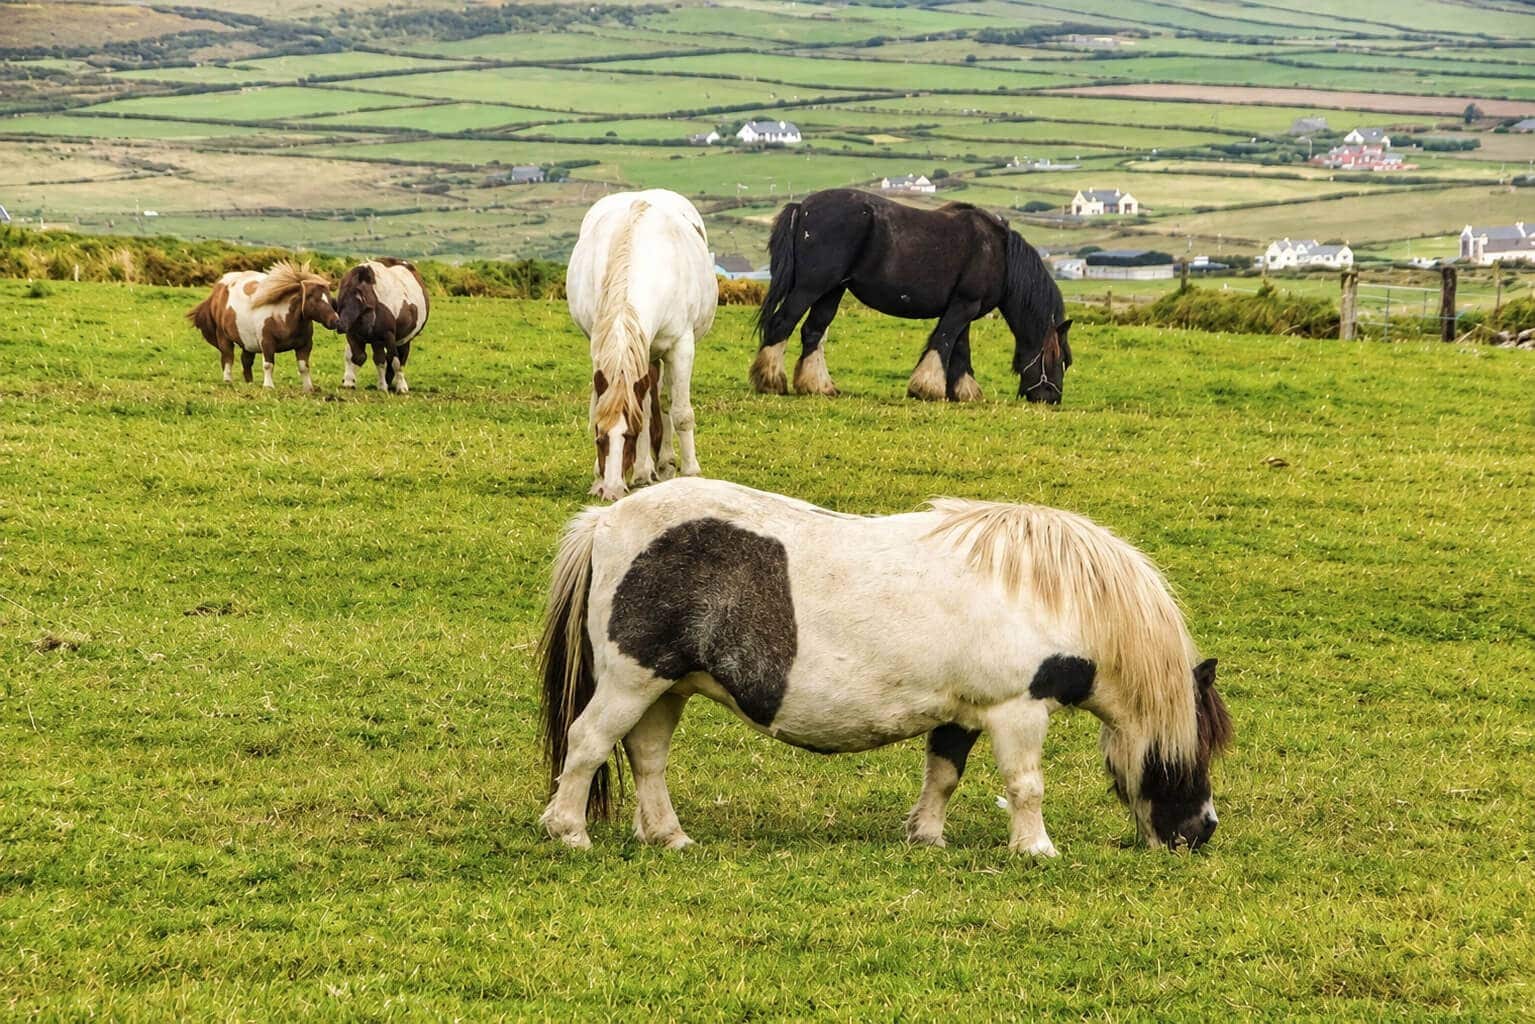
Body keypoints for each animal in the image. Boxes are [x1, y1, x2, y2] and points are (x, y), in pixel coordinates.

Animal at [187, 260, 340, 391]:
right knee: (228, 357)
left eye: (330, 298)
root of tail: (217, 290)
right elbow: (268, 365)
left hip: (247, 342)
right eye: (313, 299)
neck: (282, 317)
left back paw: (249, 383)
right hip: (224, 336)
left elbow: (304, 367)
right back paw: (227, 380)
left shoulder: (304, 345)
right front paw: (268, 386)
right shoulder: (267, 342)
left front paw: (308, 388)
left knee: (246, 361)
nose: (335, 321)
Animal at [335, 258, 429, 394]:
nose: (340, 325)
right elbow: (359, 357)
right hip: (377, 341)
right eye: (341, 301)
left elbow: (395, 361)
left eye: (360, 303)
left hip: (404, 339)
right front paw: (350, 382)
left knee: (400, 358)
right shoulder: (354, 334)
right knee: (379, 358)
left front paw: (400, 387)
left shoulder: (388, 335)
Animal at [538, 477, 1232, 854]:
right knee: (588, 741)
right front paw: (1036, 848)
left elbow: (944, 775)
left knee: (647, 756)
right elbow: (1025, 785)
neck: (1051, 595)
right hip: (633, 679)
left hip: (668, 686)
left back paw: (668, 836)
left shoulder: (963, 713)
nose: (1201, 833)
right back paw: (568, 831)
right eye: (1193, 748)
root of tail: (607, 520)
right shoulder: (1017, 709)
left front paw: (927, 836)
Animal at [566, 189, 716, 501]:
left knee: (667, 403)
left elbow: (680, 413)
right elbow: (628, 409)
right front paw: (604, 477)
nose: (611, 491)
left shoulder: (681, 347)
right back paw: (647, 471)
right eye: (599, 437)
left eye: (630, 436)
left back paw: (667, 465)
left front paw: (692, 473)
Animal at [751, 188, 1072, 404]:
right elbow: (943, 341)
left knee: (812, 331)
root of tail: (803, 207)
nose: (1051, 398)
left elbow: (960, 350)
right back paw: (771, 381)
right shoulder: (963, 306)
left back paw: (817, 386)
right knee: (782, 324)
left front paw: (963, 391)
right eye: (1060, 360)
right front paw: (927, 387)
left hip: (832, 291)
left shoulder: (964, 308)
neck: (999, 253)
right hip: (811, 287)